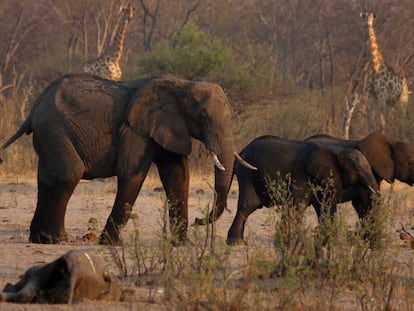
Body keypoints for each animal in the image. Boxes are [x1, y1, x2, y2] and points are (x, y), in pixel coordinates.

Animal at [0, 73, 244, 246]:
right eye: (203, 117)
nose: (198, 221)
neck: (182, 84)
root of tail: (33, 109)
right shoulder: (136, 130)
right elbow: (132, 175)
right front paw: (111, 244)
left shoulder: (168, 128)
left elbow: (178, 178)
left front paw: (180, 245)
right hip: (54, 130)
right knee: (70, 174)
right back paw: (57, 240)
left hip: (48, 135)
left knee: (47, 180)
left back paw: (38, 239)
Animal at [226, 136, 378, 246]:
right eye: (358, 170)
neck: (336, 151)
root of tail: (240, 152)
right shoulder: (302, 176)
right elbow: (297, 205)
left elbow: (325, 206)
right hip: (247, 175)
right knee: (247, 206)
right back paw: (236, 243)